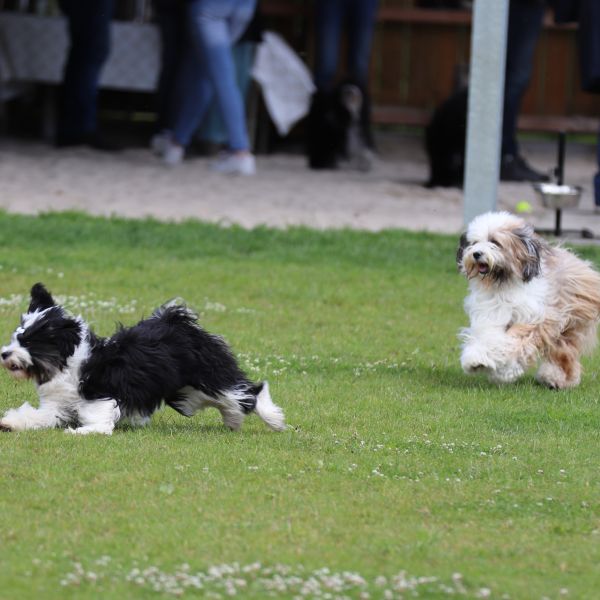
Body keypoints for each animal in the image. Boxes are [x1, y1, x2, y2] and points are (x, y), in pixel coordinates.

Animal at [0, 284, 286, 434]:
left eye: (29, 342)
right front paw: (10, 423)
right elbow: (37, 415)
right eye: (16, 337)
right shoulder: (58, 404)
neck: (67, 363)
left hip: (209, 375)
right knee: (228, 402)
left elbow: (99, 417)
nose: (4, 354)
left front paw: (85, 431)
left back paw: (272, 419)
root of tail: (179, 322)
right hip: (187, 393)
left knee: (248, 392)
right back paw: (233, 421)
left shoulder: (101, 394)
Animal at [458, 211, 600, 390]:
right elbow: (490, 336)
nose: (476, 254)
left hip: (569, 318)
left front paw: (505, 372)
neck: (503, 285)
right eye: (474, 243)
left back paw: (556, 378)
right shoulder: (491, 314)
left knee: (563, 350)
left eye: (494, 242)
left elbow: (515, 341)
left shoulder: (534, 319)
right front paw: (476, 360)